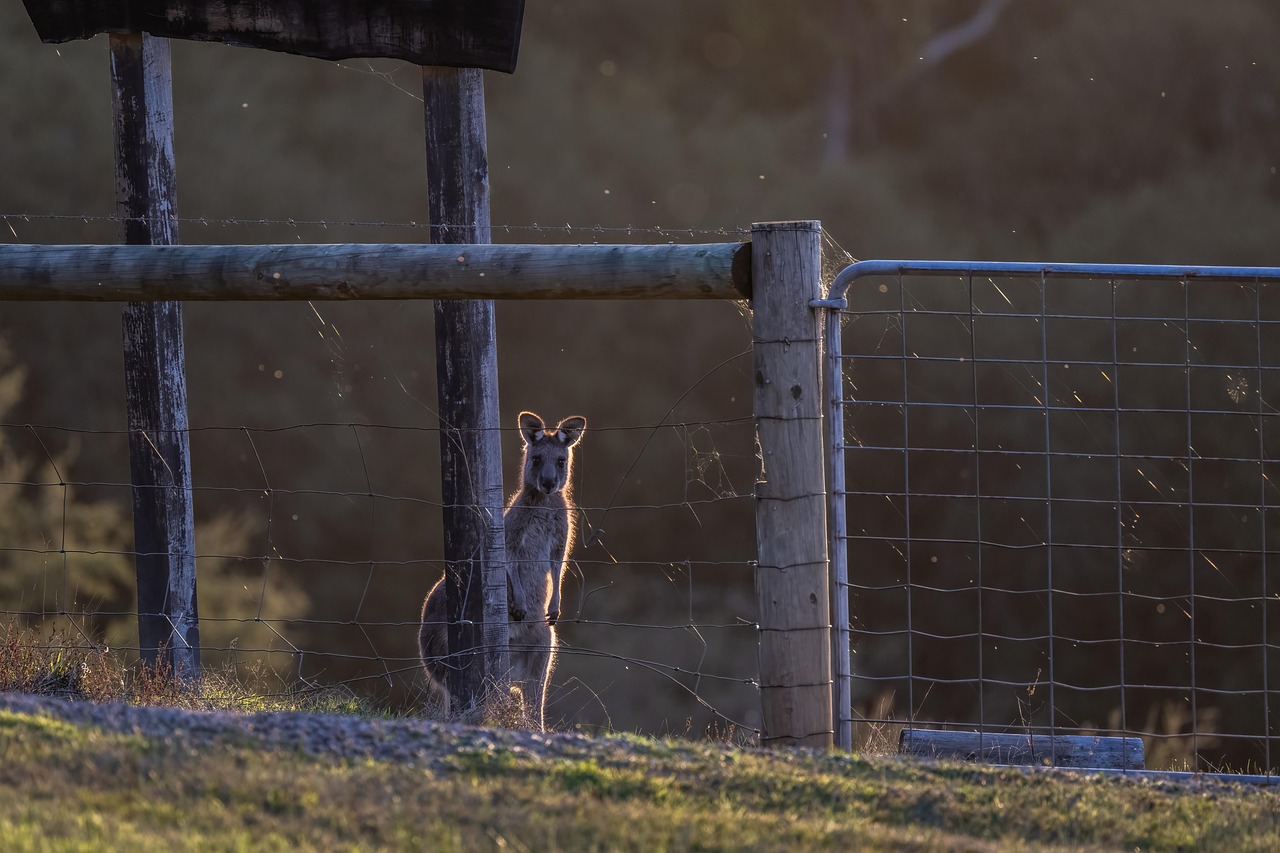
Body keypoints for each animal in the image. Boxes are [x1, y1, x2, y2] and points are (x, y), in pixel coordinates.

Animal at [420, 411, 586, 731]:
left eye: (561, 461)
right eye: (536, 458)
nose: (549, 483)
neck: (543, 503)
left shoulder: (561, 536)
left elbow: (558, 566)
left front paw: (555, 607)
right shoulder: (510, 537)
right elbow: (510, 563)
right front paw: (520, 604)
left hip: (543, 645)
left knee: (533, 697)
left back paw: (537, 729)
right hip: (466, 645)